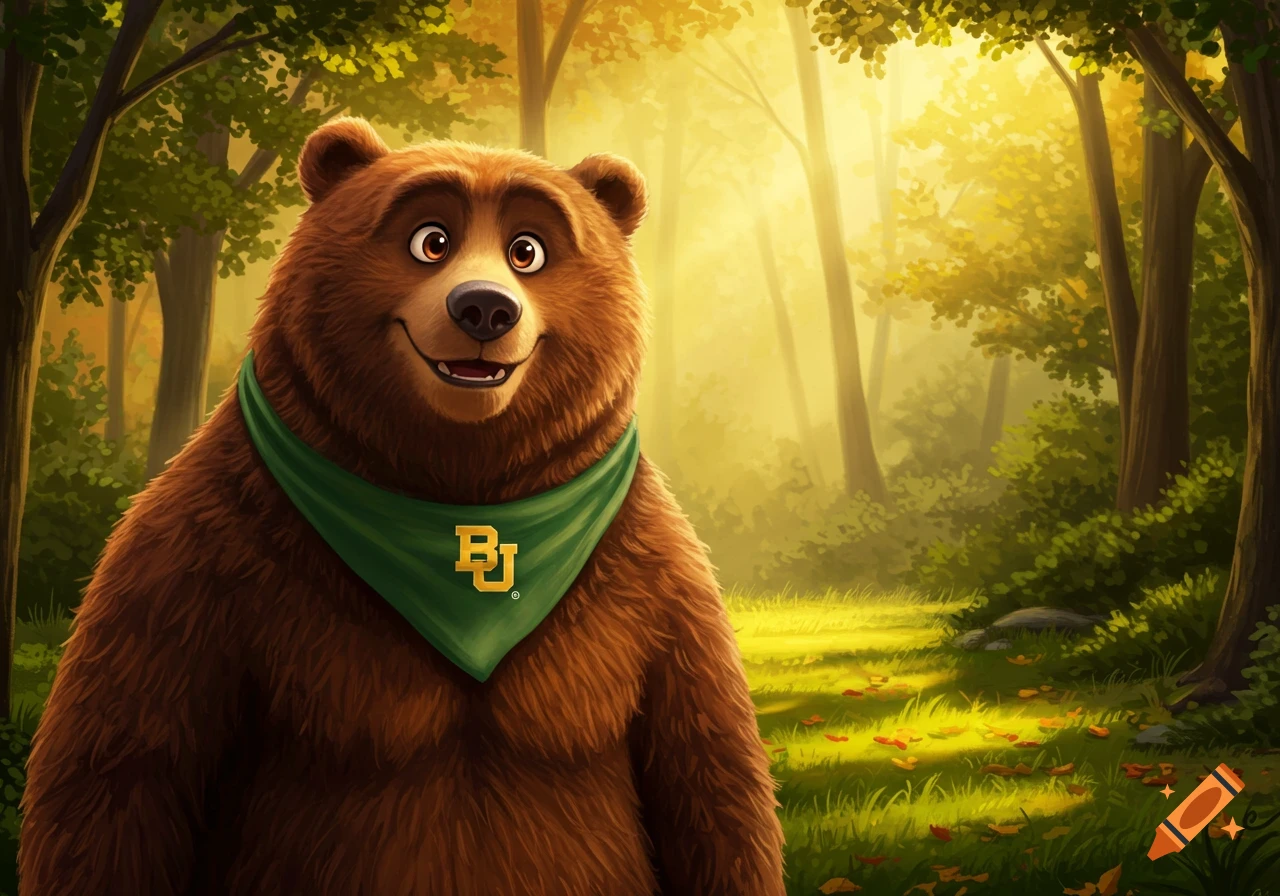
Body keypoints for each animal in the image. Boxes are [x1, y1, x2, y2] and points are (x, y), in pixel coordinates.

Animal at [18, 117, 786, 896]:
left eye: (528, 249)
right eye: (431, 239)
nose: (484, 307)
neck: (458, 501)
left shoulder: (646, 577)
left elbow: (708, 772)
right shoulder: (206, 550)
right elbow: (126, 772)